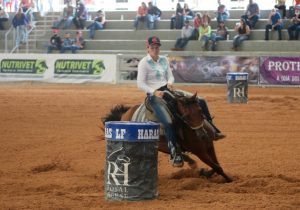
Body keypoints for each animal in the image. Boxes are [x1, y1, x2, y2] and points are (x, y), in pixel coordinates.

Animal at [102, 92, 233, 183]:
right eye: (185, 117)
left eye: (200, 111)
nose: (202, 136)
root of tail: (126, 113)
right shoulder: (200, 152)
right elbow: (216, 167)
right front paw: (229, 180)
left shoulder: (210, 146)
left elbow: (217, 165)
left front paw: (205, 173)